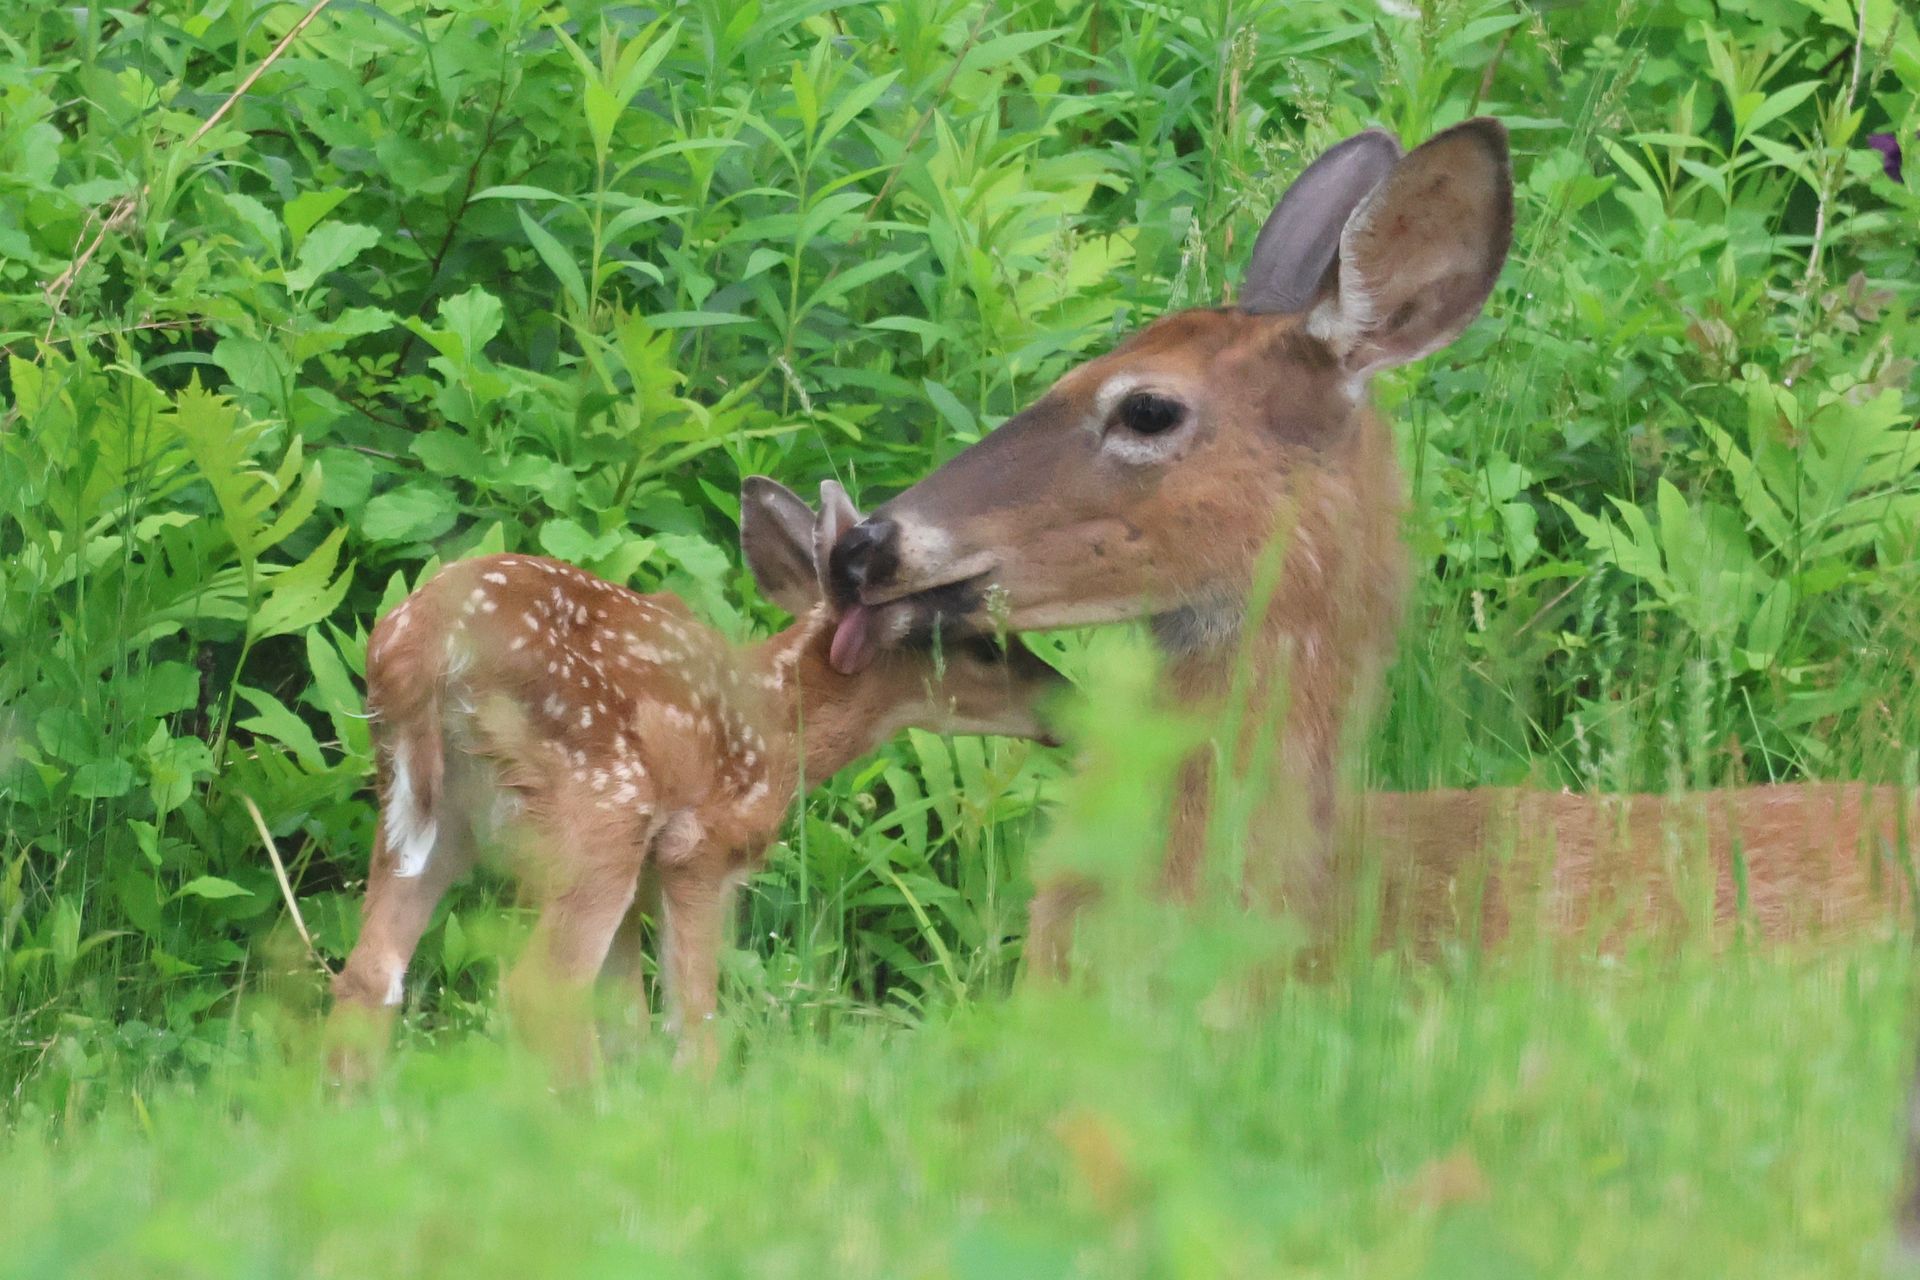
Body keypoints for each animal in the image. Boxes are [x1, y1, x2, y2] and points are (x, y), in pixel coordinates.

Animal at [325, 477, 1064, 1077]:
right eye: (983, 645)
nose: (1069, 702)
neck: (779, 724)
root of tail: (421, 640)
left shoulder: (647, 876)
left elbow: (628, 1019)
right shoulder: (701, 849)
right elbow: (695, 1021)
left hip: (426, 810)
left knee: (370, 974)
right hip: (601, 805)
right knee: (543, 990)